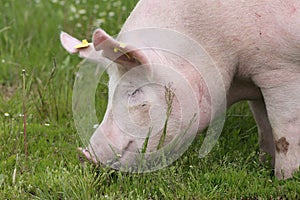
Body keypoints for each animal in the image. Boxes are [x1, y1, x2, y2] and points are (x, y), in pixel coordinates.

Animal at [59, 0, 300, 178]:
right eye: (108, 93)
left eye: (135, 91)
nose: (86, 156)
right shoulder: (255, 82)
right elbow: (264, 127)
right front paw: (265, 165)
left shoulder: (280, 67)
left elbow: (283, 133)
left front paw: (283, 180)